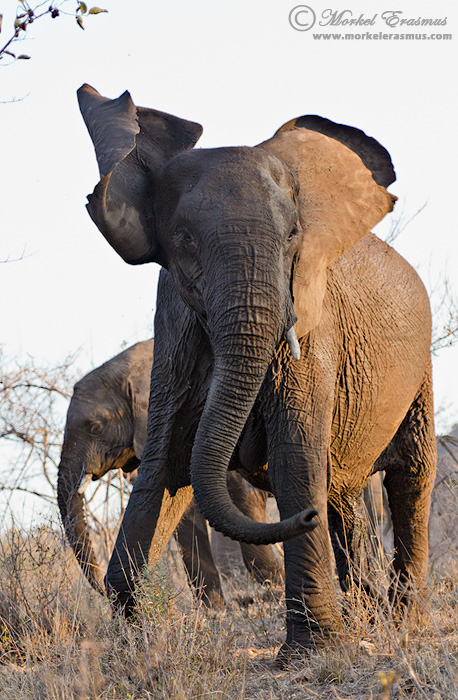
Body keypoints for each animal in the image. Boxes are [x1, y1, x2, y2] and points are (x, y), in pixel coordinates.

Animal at [57, 339, 283, 608]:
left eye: (95, 427)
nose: (103, 590)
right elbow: (184, 516)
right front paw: (214, 611)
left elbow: (245, 496)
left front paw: (276, 589)